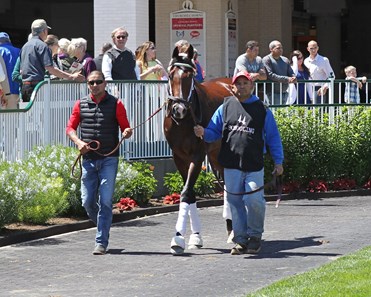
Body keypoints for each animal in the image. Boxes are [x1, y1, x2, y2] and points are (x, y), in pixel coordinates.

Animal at [165, 44, 232, 254]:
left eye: (189, 76)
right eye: (171, 75)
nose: (178, 109)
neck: (183, 122)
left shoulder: (198, 154)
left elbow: (186, 192)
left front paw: (178, 238)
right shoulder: (179, 157)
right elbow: (189, 192)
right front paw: (195, 236)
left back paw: (233, 229)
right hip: (216, 154)